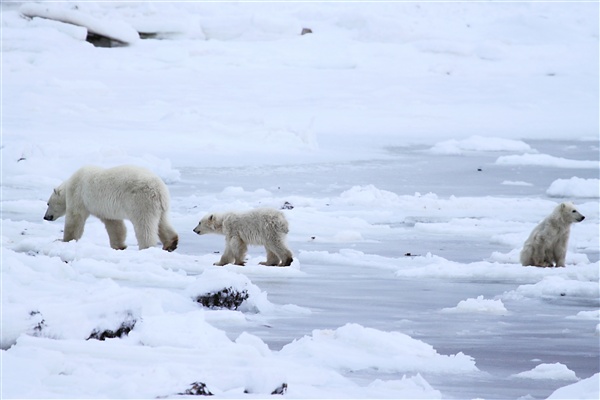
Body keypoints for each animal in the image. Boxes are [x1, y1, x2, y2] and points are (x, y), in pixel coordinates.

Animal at [44, 164, 178, 252]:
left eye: (48, 203)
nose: (46, 217)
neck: (69, 186)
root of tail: (158, 190)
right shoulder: (105, 209)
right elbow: (115, 225)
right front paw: (119, 246)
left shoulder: (78, 196)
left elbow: (75, 218)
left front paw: (63, 240)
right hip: (161, 206)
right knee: (162, 222)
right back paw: (171, 243)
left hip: (141, 202)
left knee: (144, 225)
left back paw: (146, 247)